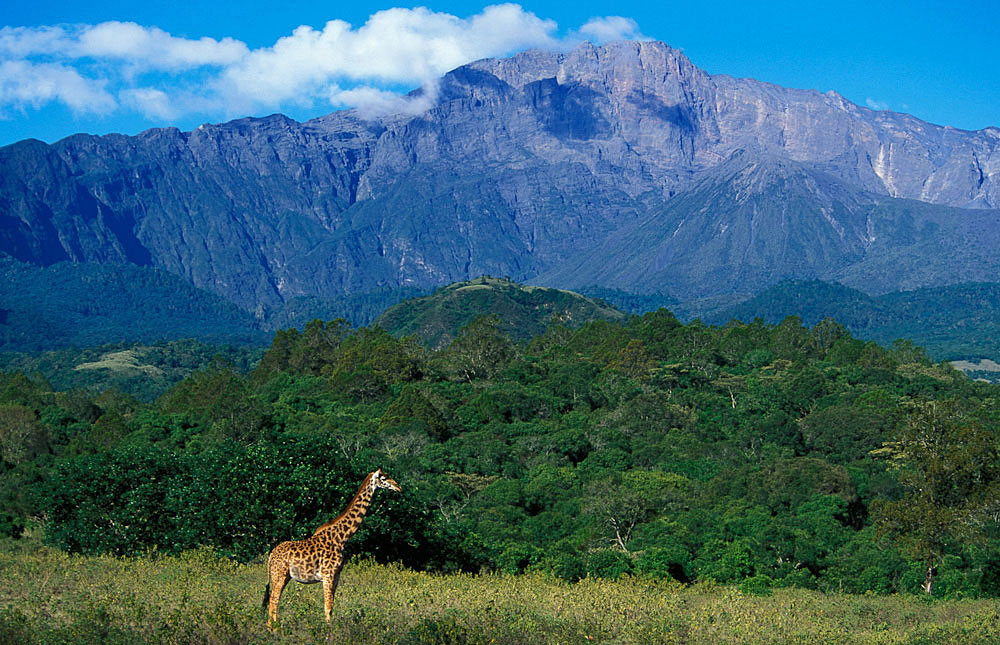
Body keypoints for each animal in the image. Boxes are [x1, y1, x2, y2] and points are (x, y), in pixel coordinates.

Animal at [262, 468, 402, 628]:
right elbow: (327, 606)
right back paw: (274, 629)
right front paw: (328, 631)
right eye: (384, 478)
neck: (341, 538)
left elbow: (332, 607)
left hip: (284, 576)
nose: (399, 487)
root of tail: (271, 556)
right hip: (278, 575)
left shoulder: (336, 576)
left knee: (273, 601)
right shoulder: (328, 575)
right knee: (273, 601)